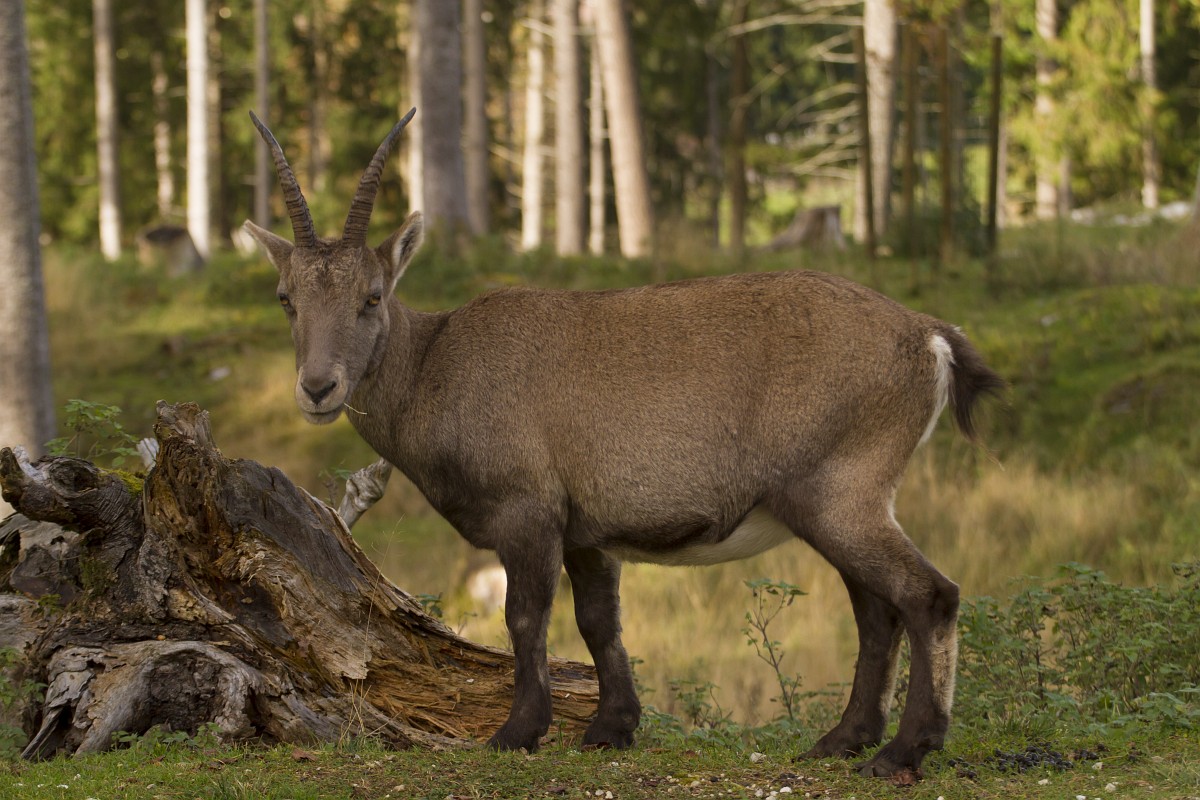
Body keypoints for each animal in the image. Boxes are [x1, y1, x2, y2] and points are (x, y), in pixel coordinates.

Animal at [242, 109, 1005, 778]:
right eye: (286, 298)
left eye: (371, 296)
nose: (318, 388)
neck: (436, 365)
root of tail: (931, 338)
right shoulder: (588, 530)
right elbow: (598, 620)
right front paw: (612, 728)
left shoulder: (528, 510)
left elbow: (526, 617)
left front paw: (517, 732)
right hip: (841, 502)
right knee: (877, 611)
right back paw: (841, 740)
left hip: (841, 491)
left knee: (927, 596)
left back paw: (902, 751)